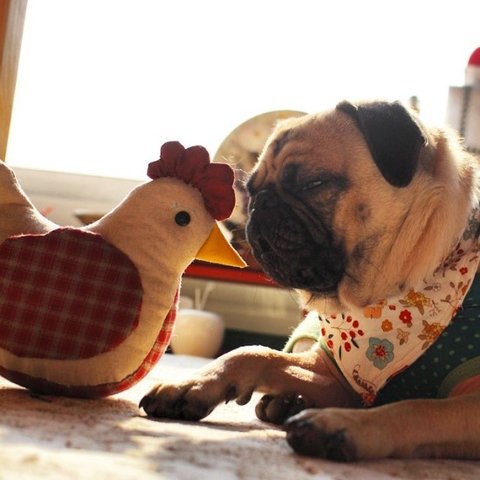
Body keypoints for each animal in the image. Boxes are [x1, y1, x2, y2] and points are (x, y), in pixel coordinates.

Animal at [140, 100, 480, 461]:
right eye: (250, 191)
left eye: (312, 184)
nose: (260, 204)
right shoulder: (338, 377)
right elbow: (254, 353)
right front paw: (191, 385)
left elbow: (415, 408)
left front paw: (342, 425)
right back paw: (284, 403)